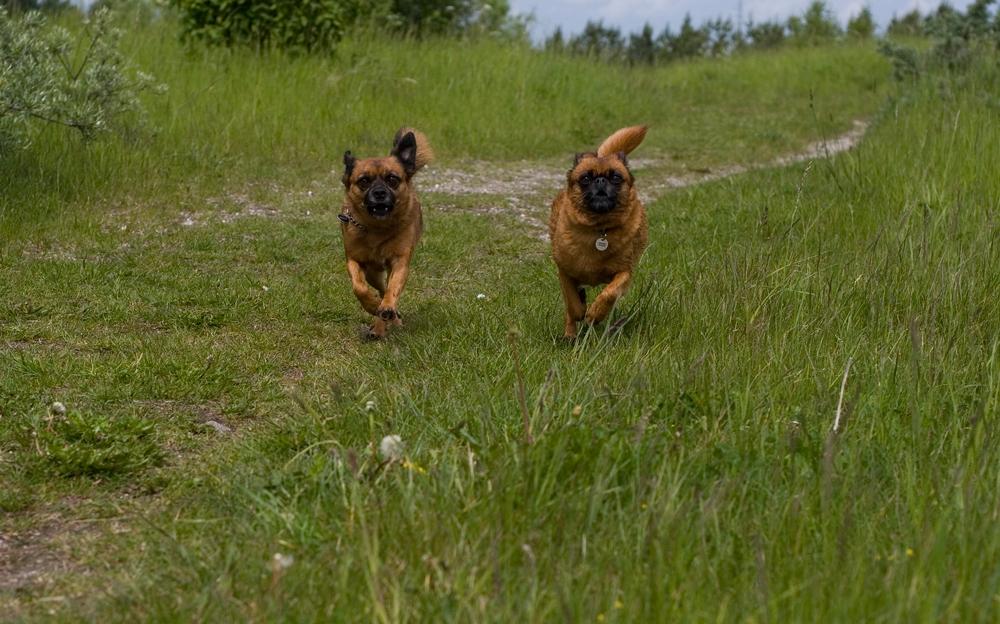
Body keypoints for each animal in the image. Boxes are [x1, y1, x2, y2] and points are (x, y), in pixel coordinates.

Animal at [342, 129, 432, 338]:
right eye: (364, 181)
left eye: (392, 179)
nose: (380, 193)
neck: (377, 229)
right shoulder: (355, 261)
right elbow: (359, 288)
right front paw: (372, 305)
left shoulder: (399, 262)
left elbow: (393, 290)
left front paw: (387, 309)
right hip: (373, 274)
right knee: (380, 289)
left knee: (387, 291)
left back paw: (386, 320)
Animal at [548, 125, 648, 338]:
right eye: (585, 178)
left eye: (616, 177)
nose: (601, 180)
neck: (598, 229)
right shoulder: (564, 272)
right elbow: (572, 304)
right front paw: (581, 311)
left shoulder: (624, 273)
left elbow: (609, 293)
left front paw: (595, 313)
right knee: (570, 309)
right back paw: (570, 335)